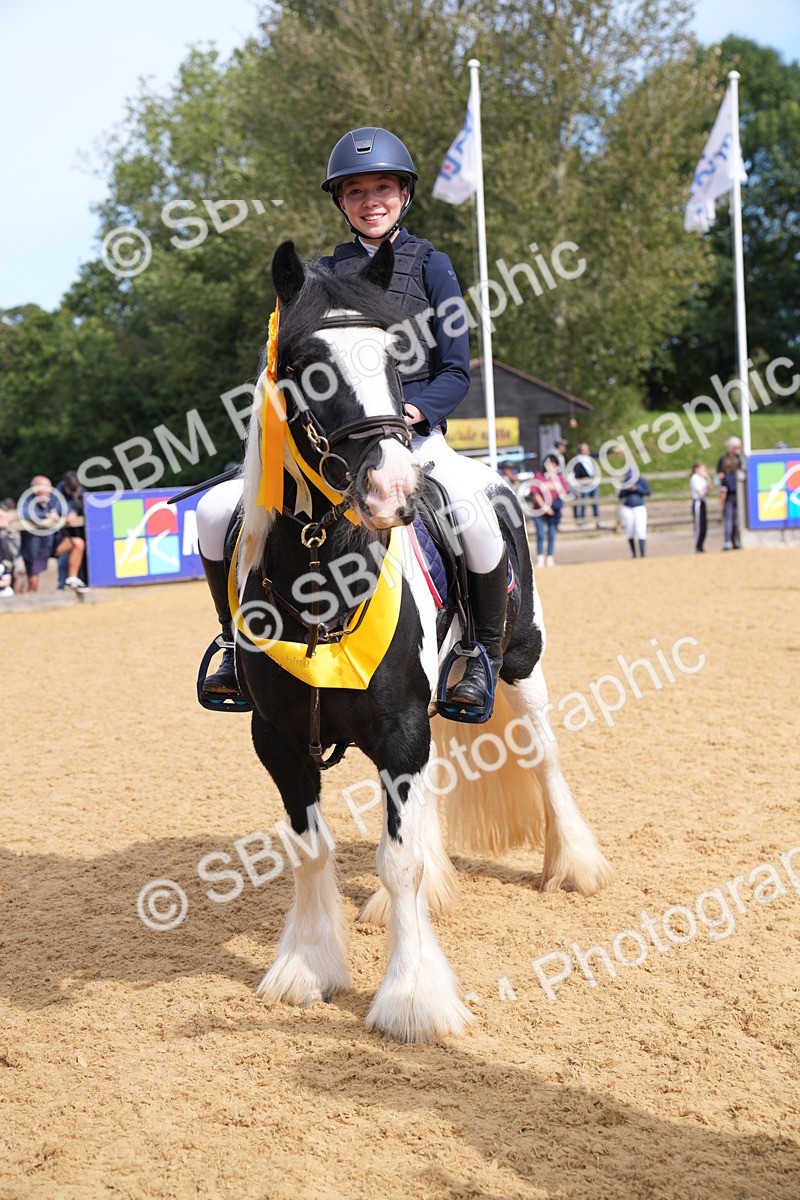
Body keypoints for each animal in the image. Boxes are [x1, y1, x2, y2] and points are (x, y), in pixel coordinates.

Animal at [232, 239, 612, 1044]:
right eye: (308, 363)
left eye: (396, 356)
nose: (393, 493)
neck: (323, 580)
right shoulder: (279, 739)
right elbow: (309, 848)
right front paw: (306, 967)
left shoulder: (401, 727)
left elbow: (396, 861)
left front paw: (412, 999)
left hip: (522, 665)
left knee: (545, 757)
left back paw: (574, 865)